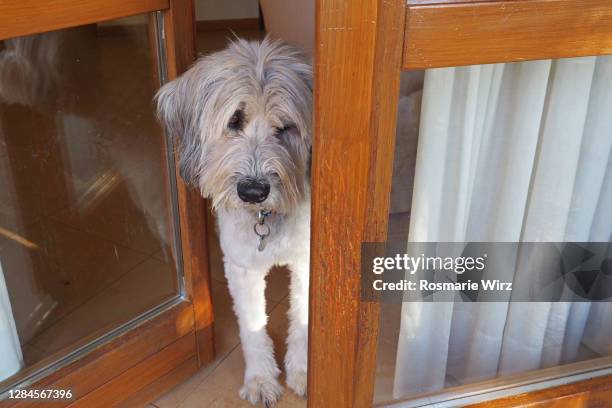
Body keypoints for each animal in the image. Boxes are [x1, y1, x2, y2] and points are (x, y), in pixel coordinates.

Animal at [155, 37, 314, 404]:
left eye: (284, 127)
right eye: (234, 121)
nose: (253, 191)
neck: (266, 219)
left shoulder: (308, 257)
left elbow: (302, 317)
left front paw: (303, 371)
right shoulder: (241, 267)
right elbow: (253, 326)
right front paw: (260, 379)